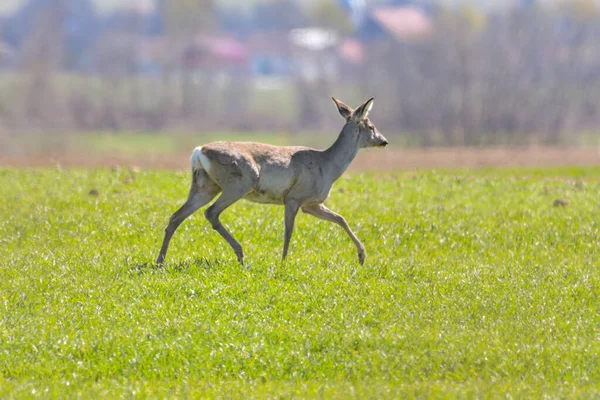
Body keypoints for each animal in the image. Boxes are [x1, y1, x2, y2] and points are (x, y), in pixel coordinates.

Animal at [156, 97, 390, 266]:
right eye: (371, 126)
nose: (384, 141)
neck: (328, 166)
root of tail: (198, 151)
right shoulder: (294, 198)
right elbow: (288, 232)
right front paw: (284, 262)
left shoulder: (311, 203)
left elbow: (341, 219)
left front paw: (362, 256)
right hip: (239, 182)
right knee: (211, 212)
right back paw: (241, 254)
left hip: (205, 185)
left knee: (176, 216)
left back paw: (160, 261)